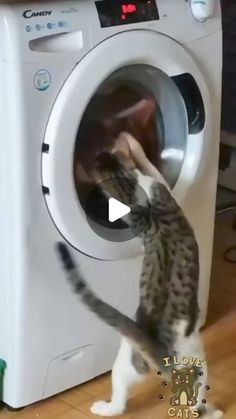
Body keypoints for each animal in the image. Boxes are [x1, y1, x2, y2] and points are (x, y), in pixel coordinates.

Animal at [55, 135, 223, 419]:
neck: (127, 186)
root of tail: (163, 353)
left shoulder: (157, 184)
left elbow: (149, 167)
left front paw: (129, 141)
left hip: (130, 358)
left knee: (122, 398)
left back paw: (104, 407)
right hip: (193, 354)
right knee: (198, 384)